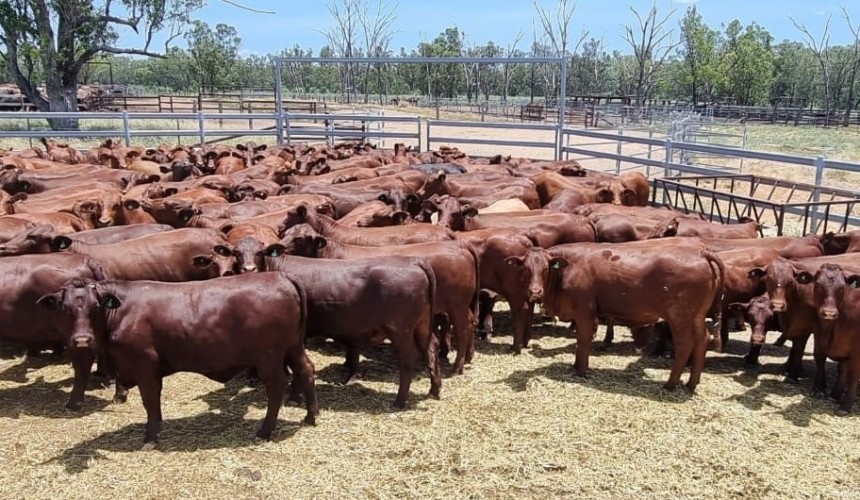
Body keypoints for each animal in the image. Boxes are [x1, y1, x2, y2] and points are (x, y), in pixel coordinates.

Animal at [37, 273, 317, 446]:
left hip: (269, 357)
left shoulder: (145, 366)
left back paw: (264, 431)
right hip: (293, 347)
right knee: (306, 370)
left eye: (96, 306)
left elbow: (150, 401)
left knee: (277, 387)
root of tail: (280, 276)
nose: (82, 340)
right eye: (65, 308)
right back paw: (310, 416)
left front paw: (150, 437)